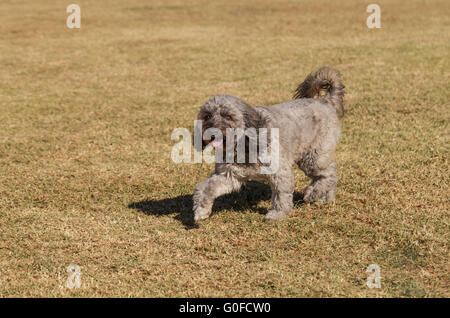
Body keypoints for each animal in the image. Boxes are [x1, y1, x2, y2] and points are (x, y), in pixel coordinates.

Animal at [192, 67, 344, 221]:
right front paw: (201, 210)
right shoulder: (228, 175)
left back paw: (313, 193)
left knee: (330, 173)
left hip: (313, 158)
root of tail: (325, 101)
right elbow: (207, 188)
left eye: (228, 116)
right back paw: (325, 197)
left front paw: (277, 214)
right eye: (207, 116)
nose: (212, 132)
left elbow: (281, 195)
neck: (244, 145)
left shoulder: (280, 173)